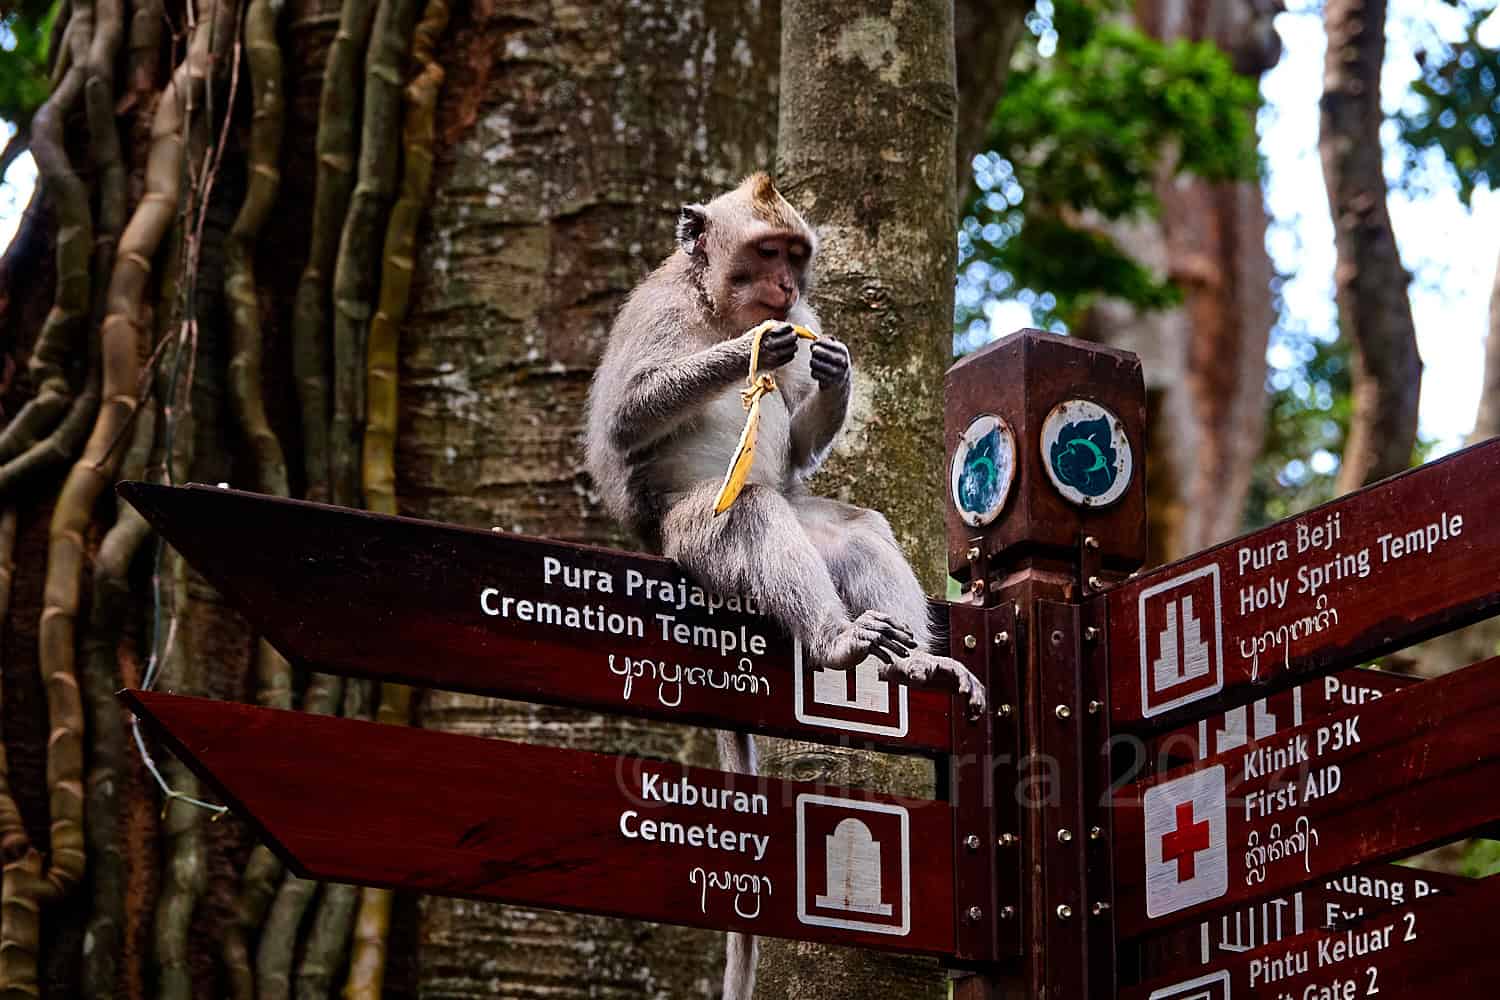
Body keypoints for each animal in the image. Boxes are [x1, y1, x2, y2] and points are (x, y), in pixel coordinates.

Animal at [584, 173, 986, 999]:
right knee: (753, 511)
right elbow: (623, 423)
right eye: (767, 252)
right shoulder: (658, 311)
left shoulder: (807, 320)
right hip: (689, 534)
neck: (717, 304)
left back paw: (918, 661)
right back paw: (835, 641)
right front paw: (748, 352)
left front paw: (837, 371)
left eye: (795, 256)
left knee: (853, 526)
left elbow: (801, 442)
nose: (783, 287)